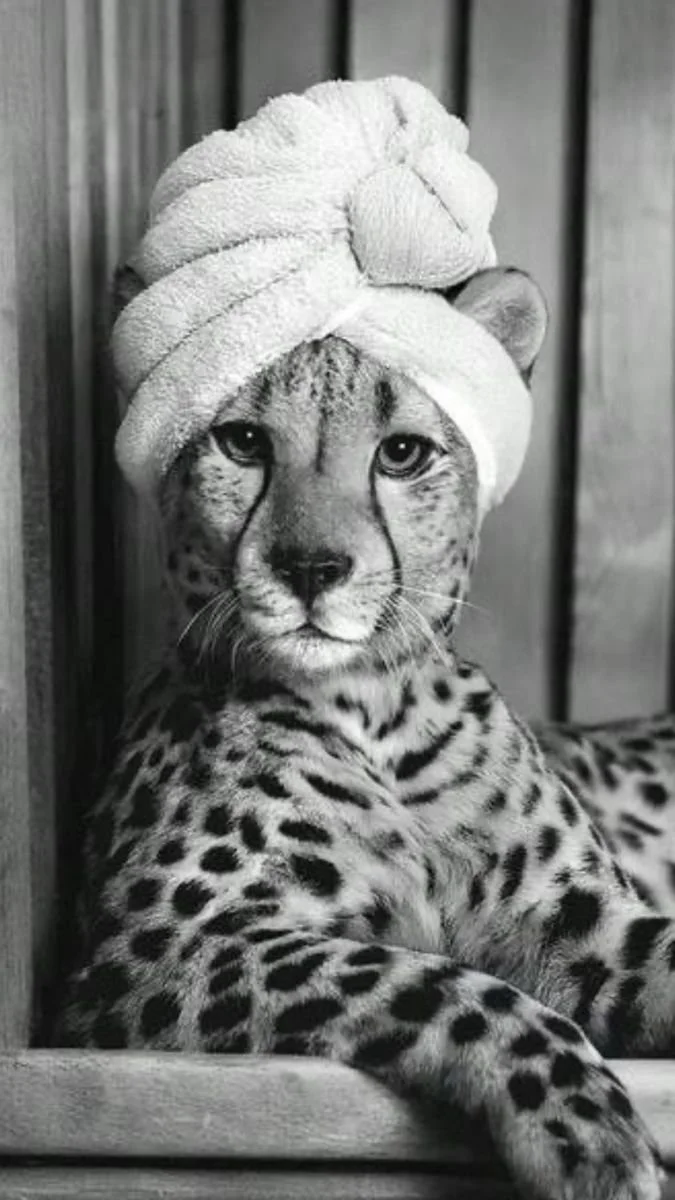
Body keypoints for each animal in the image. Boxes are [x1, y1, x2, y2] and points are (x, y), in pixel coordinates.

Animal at [55, 266, 675, 1200]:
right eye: (242, 441)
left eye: (402, 454)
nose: (311, 568)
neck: (373, 712)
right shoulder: (155, 952)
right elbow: (433, 980)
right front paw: (587, 1130)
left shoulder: (575, 920)